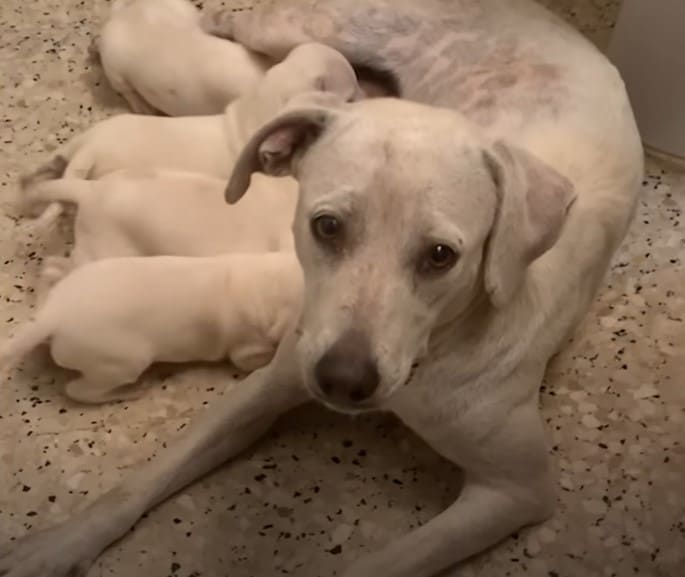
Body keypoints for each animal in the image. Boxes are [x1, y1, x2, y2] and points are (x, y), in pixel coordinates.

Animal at [0, 250, 302, 402]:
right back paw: (128, 392)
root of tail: (54, 314)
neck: (265, 283)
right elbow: (259, 358)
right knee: (79, 391)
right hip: (123, 362)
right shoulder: (245, 349)